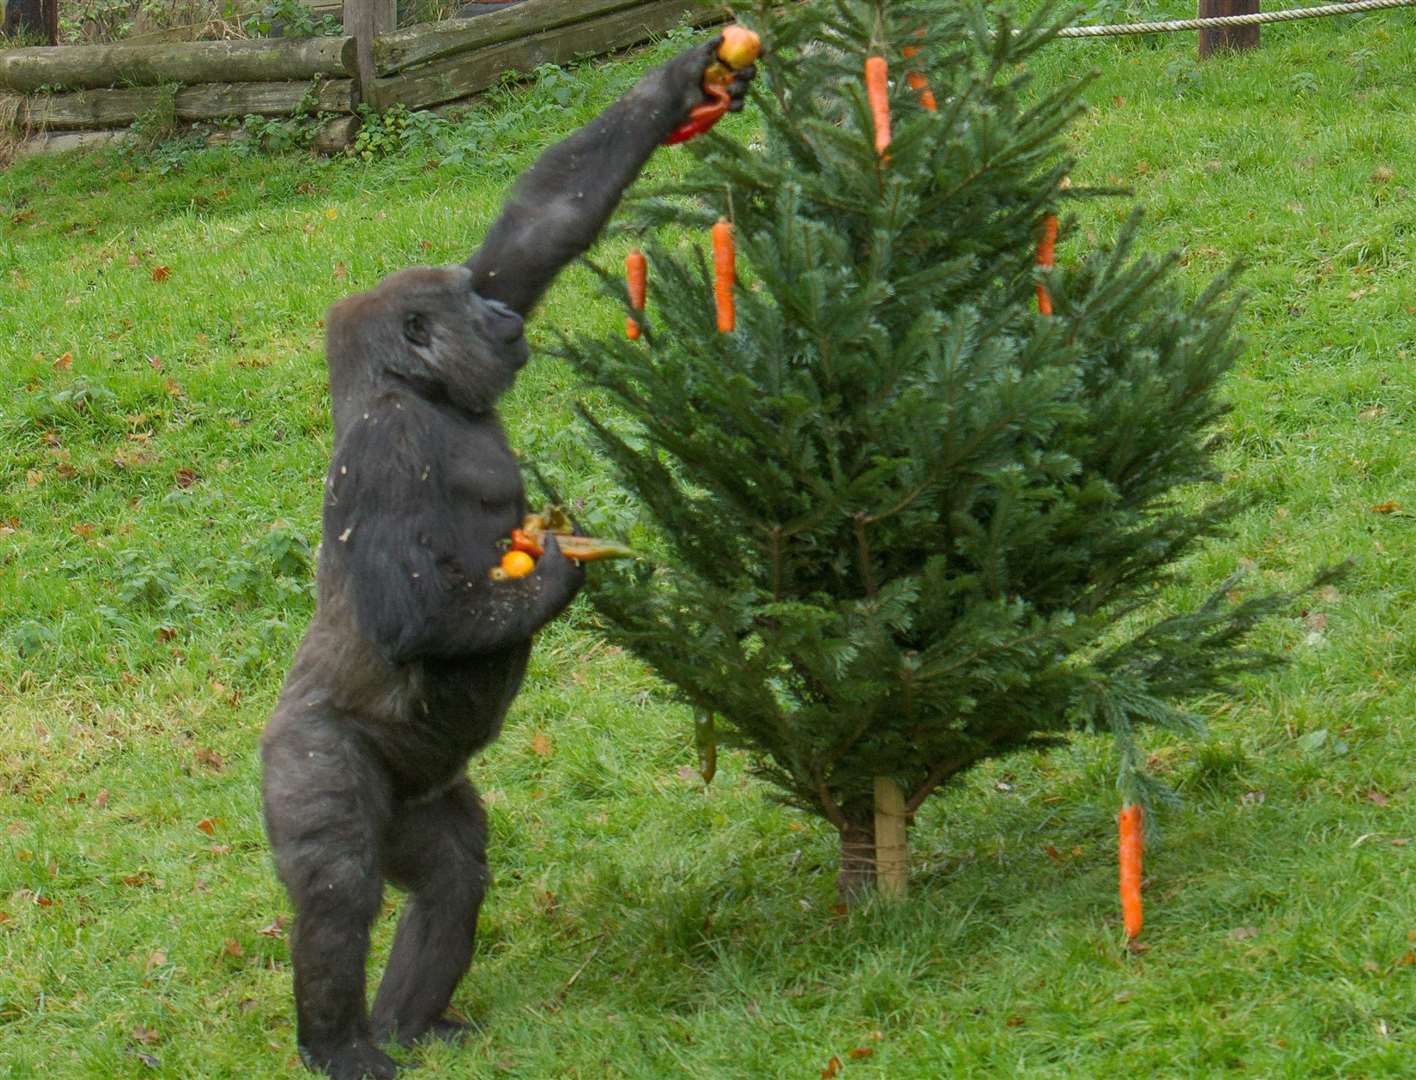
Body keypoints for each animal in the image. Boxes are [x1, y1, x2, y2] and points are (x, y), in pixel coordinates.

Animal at [261, 42, 758, 1080]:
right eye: (466, 307)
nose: (496, 314)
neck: (416, 391)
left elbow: (542, 224)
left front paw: (682, 85)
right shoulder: (385, 450)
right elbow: (410, 611)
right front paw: (562, 575)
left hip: (420, 793)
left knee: (450, 868)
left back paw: (412, 1023)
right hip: (303, 753)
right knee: (335, 887)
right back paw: (341, 1044)